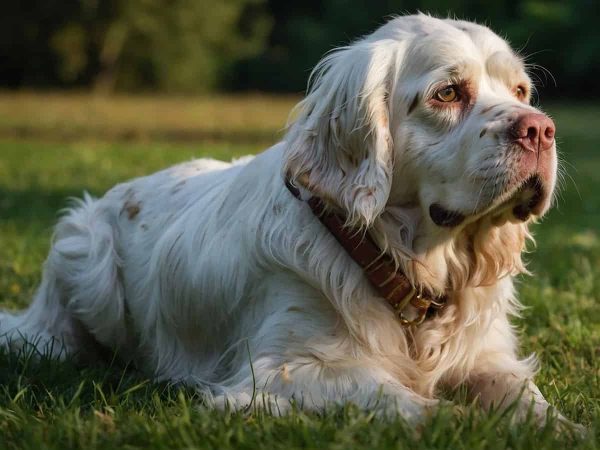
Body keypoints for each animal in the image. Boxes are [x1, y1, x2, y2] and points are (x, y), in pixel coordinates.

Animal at [0, 14, 580, 428]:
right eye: (447, 93)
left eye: (521, 92)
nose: (540, 129)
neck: (406, 264)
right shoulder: (288, 371)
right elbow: (420, 408)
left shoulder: (490, 360)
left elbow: (533, 406)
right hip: (85, 258)